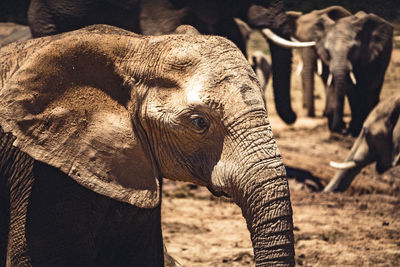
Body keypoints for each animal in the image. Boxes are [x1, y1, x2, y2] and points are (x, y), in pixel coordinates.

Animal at [288, 6, 394, 136]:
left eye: (353, 49)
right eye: (327, 50)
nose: (339, 131)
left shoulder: (370, 55)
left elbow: (367, 86)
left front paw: (354, 131)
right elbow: (350, 90)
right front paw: (351, 131)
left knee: (373, 88)